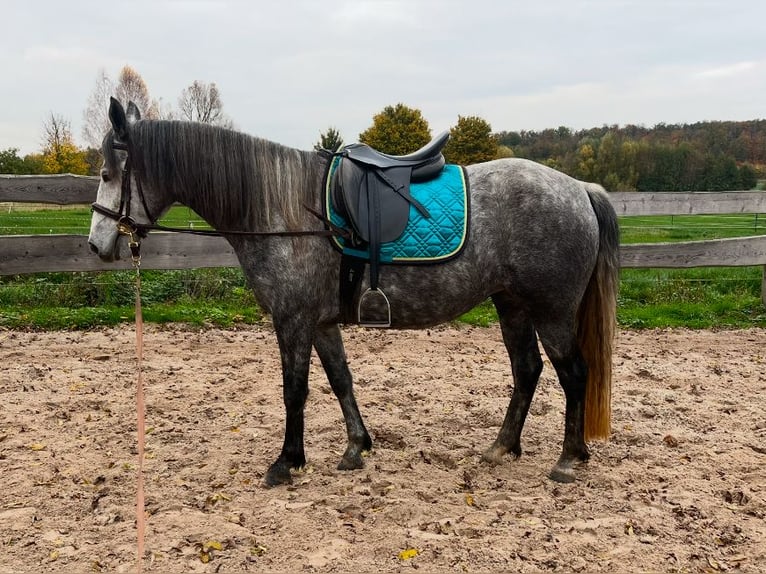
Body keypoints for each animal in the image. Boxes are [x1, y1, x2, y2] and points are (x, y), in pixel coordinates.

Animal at [90, 99, 620, 486]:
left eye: (107, 174)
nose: (97, 245)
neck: (282, 208)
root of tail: (579, 188)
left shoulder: (293, 320)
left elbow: (295, 389)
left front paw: (287, 461)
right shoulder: (322, 322)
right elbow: (340, 379)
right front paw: (355, 447)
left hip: (552, 310)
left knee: (574, 373)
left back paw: (569, 459)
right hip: (512, 305)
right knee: (527, 370)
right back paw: (502, 447)